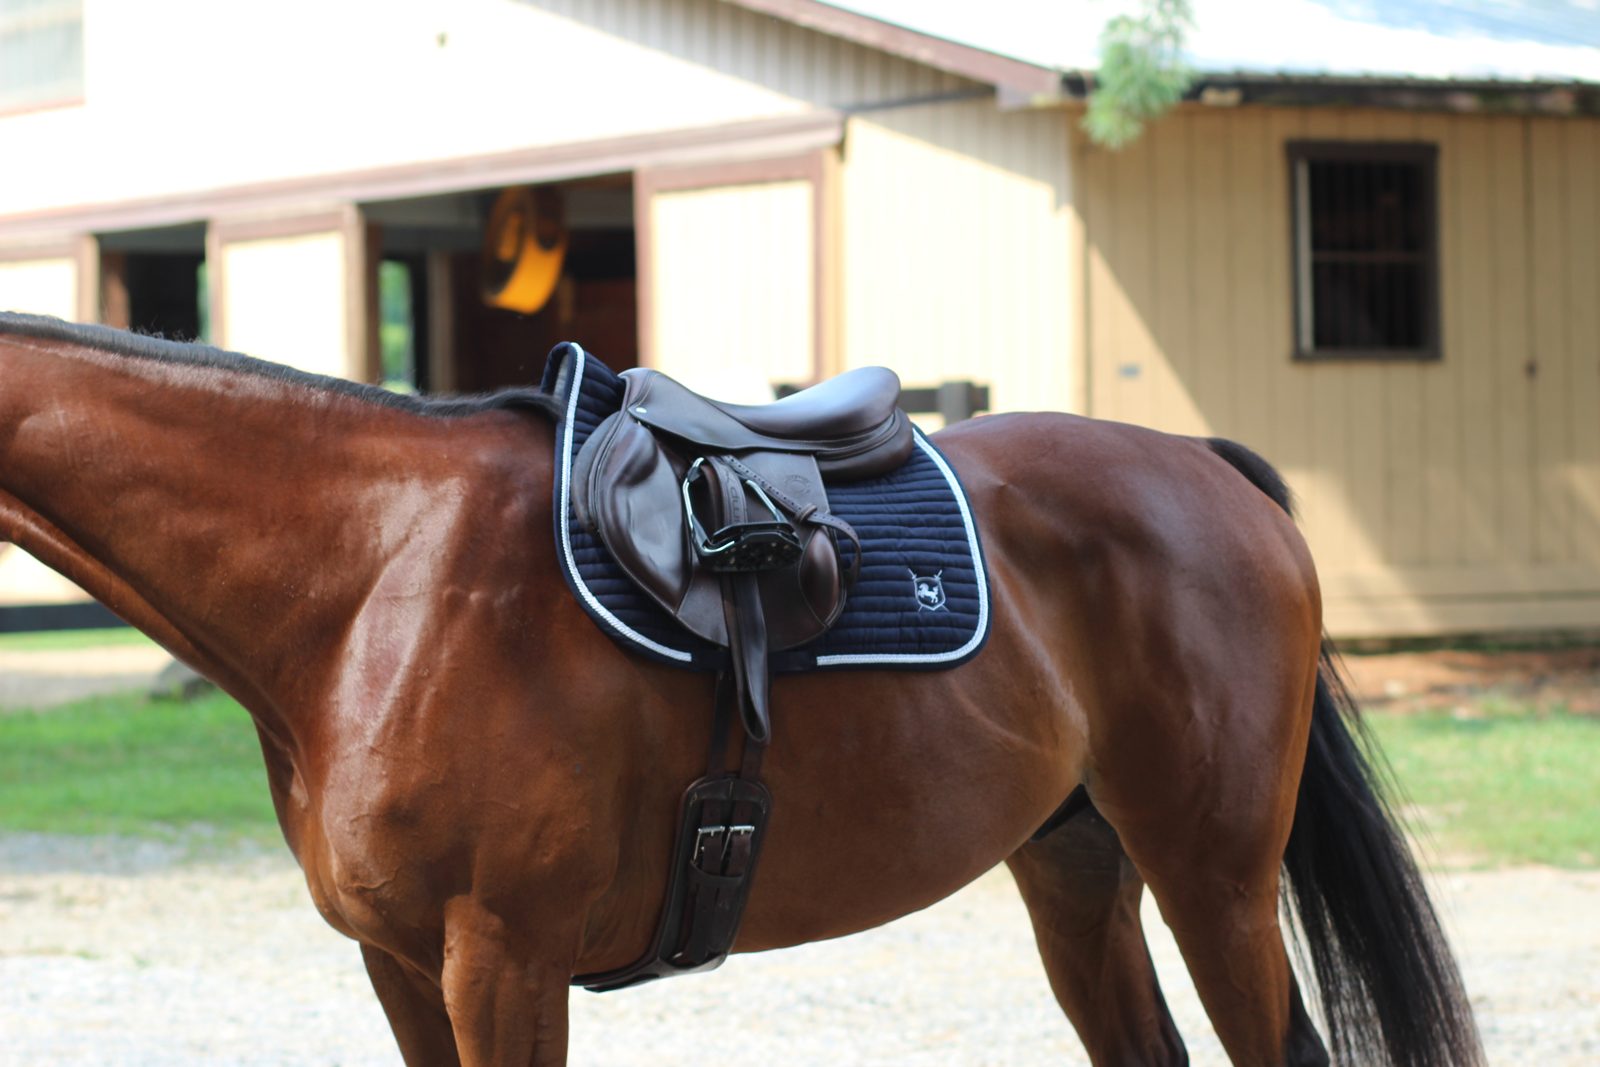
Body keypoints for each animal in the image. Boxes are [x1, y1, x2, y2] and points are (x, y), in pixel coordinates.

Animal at [0, 312, 1481, 1067]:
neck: (375, 573)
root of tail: (1207, 465)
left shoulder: (503, 953)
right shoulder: (402, 964)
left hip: (1212, 870)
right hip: (1076, 865)